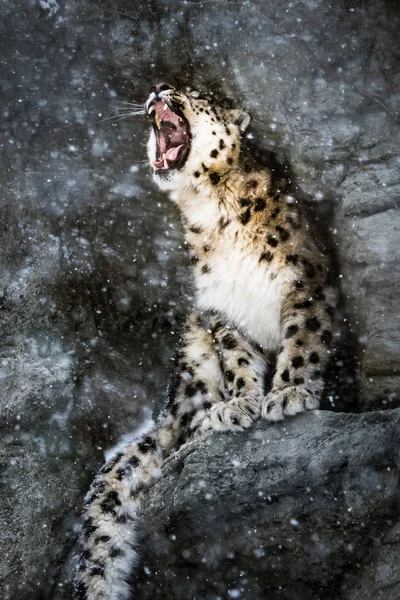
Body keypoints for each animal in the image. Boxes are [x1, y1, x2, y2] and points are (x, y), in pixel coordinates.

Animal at [73, 82, 340, 596]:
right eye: (166, 86)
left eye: (192, 93)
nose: (158, 89)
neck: (215, 214)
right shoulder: (220, 308)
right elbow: (237, 358)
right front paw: (240, 405)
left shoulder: (307, 282)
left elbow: (304, 339)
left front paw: (291, 392)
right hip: (192, 353)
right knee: (179, 430)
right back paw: (205, 420)